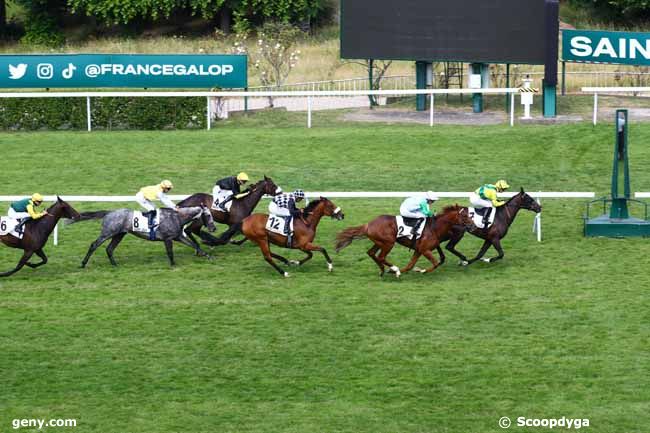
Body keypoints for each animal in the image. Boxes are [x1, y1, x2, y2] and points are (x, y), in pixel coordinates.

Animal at [69, 206, 214, 266]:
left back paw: (115, 264)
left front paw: (207, 255)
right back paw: (83, 263)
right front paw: (173, 264)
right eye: (208, 215)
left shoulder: (178, 236)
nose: (213, 227)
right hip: (108, 233)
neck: (177, 217)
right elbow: (170, 252)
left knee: (109, 249)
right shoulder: (167, 238)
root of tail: (109, 213)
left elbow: (194, 244)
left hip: (119, 235)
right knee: (94, 245)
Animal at [334, 203, 470, 276]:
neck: (435, 227)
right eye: (464, 215)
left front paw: (412, 269)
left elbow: (410, 265)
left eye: (470, 215)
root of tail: (368, 224)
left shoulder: (418, 250)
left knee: (371, 253)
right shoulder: (424, 250)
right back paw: (395, 269)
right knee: (381, 257)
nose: (471, 225)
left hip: (380, 242)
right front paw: (422, 271)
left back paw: (384, 270)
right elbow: (435, 263)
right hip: (389, 243)